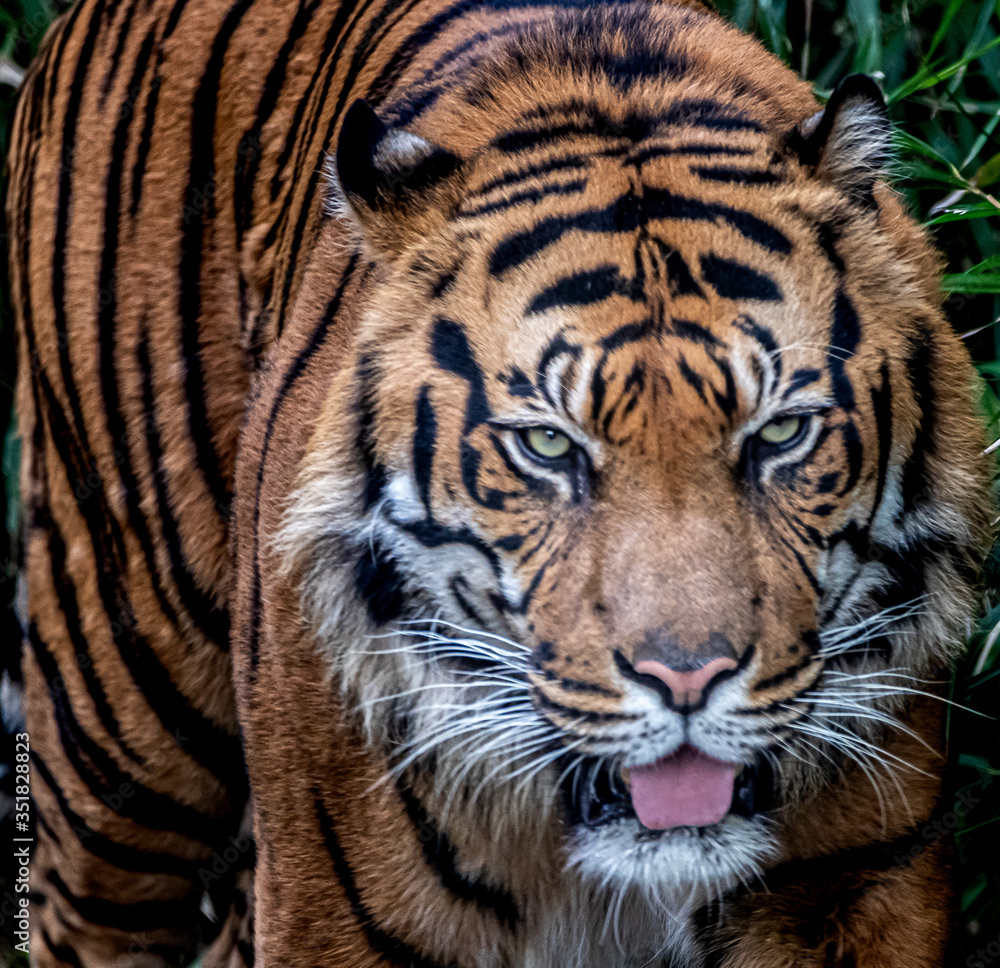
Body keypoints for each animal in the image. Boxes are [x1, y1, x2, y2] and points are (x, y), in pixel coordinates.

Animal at [7, 0, 995, 962]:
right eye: (548, 447)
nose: (687, 680)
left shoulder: (861, 887)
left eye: (782, 432)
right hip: (124, 711)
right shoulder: (329, 913)